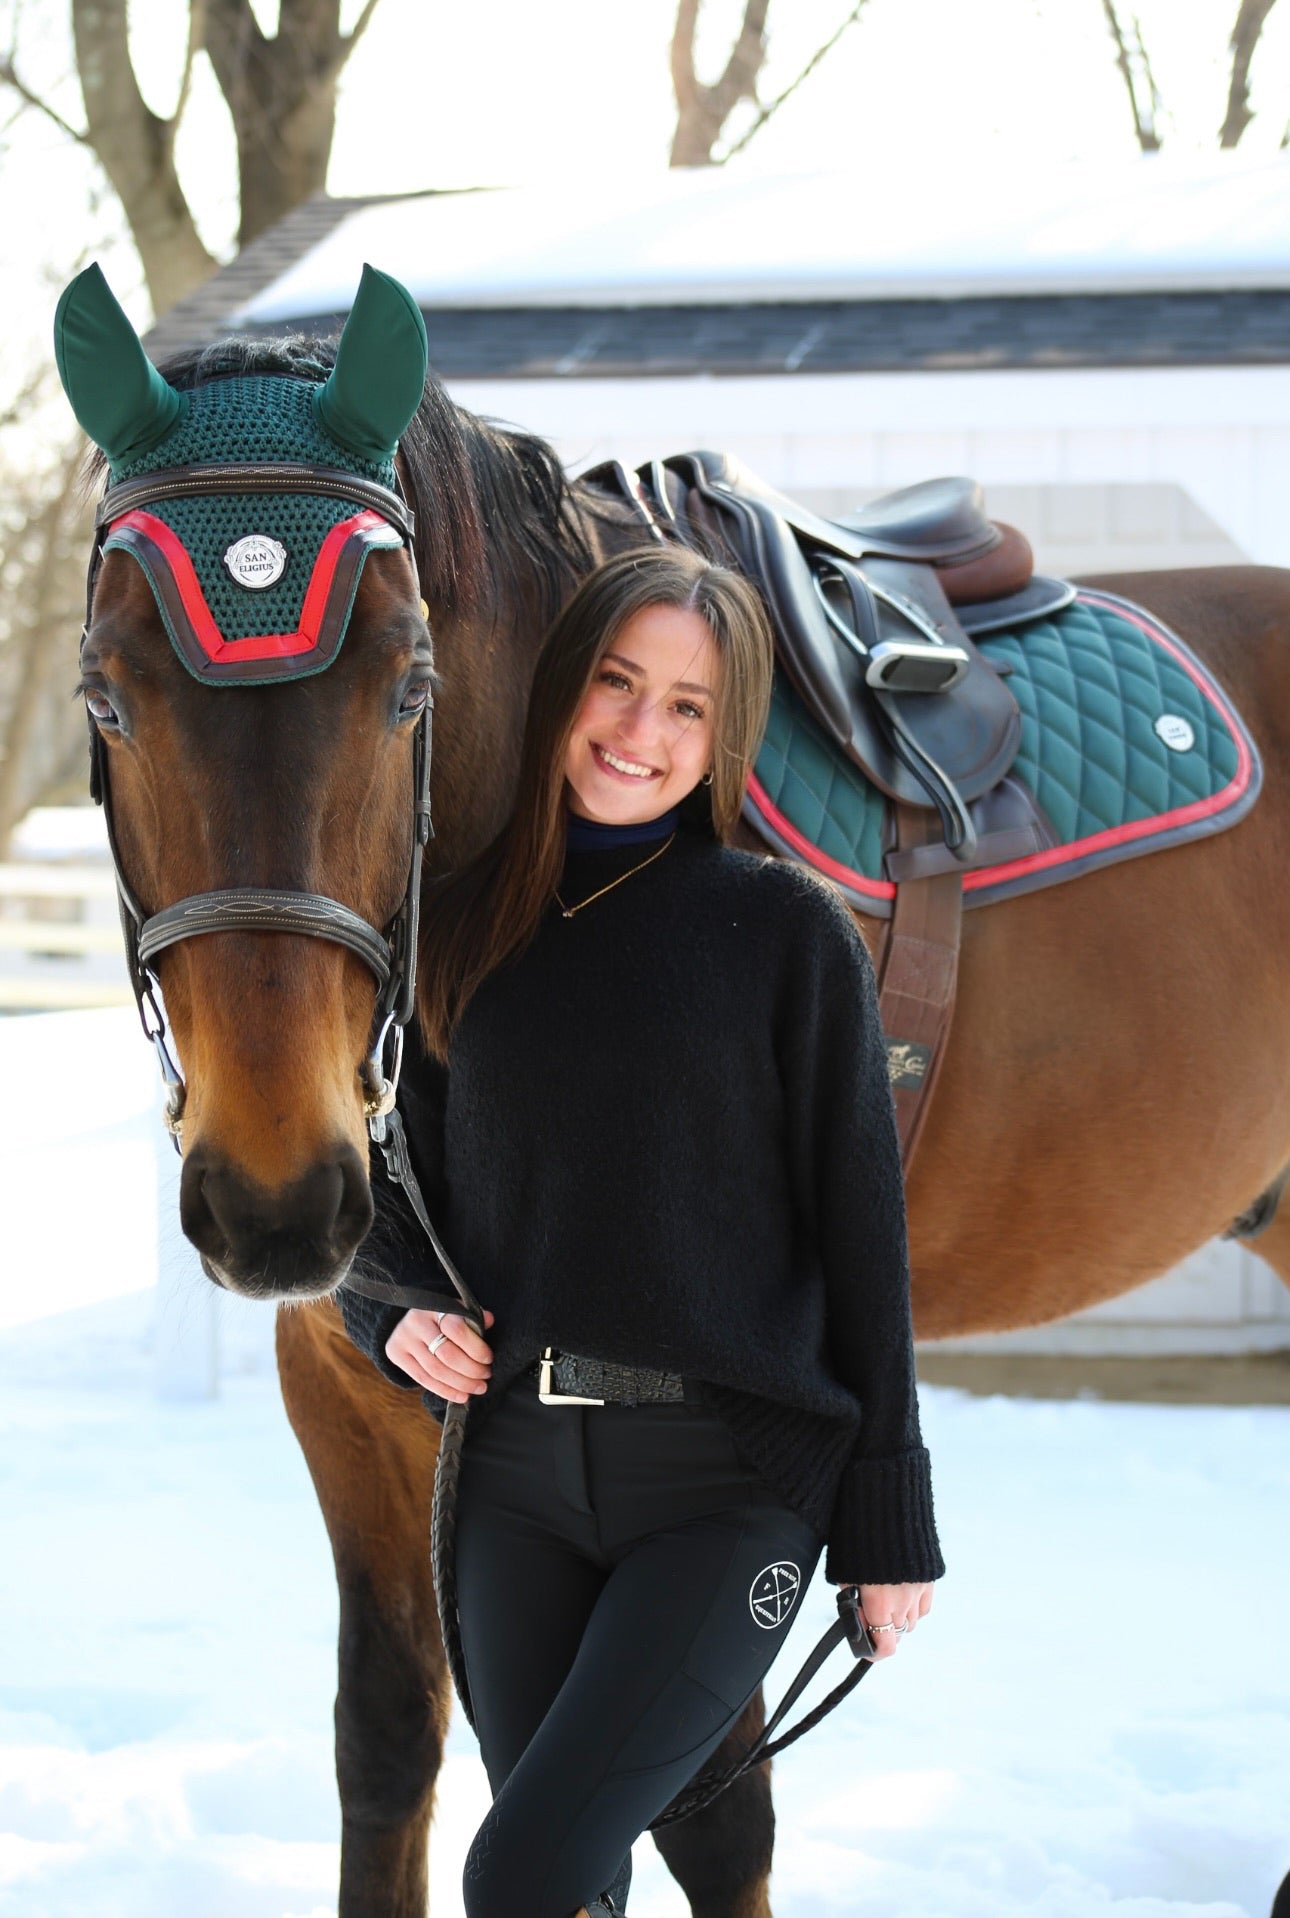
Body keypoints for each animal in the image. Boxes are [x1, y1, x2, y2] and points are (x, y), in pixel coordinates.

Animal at [57, 264, 1290, 1918]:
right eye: (106, 697)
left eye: (408, 690)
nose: (276, 1194)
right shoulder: (352, 1387)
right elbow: (387, 1738)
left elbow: (711, 1814)